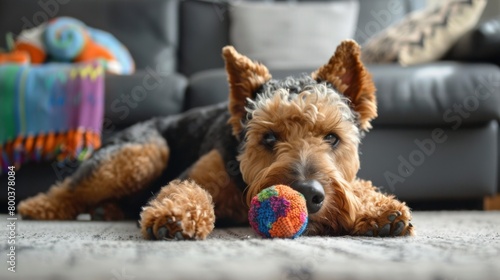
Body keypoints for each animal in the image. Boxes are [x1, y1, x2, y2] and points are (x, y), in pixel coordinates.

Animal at [18, 40, 414, 240]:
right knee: (68, 188)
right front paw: (175, 216)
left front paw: (378, 209)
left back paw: (107, 211)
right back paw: (36, 207)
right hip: (144, 153)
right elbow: (187, 191)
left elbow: (357, 186)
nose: (308, 194)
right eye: (269, 137)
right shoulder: (195, 176)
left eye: (332, 137)